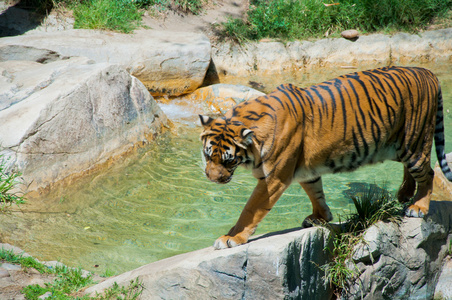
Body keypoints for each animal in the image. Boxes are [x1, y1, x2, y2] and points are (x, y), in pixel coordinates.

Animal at [200, 67, 452, 250]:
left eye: (229, 161)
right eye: (207, 155)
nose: (212, 178)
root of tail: (427, 72)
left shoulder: (273, 179)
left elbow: (250, 210)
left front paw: (231, 238)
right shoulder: (305, 170)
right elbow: (316, 192)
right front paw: (321, 217)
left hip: (414, 140)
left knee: (428, 172)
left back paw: (418, 206)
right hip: (398, 145)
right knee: (411, 169)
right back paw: (404, 194)